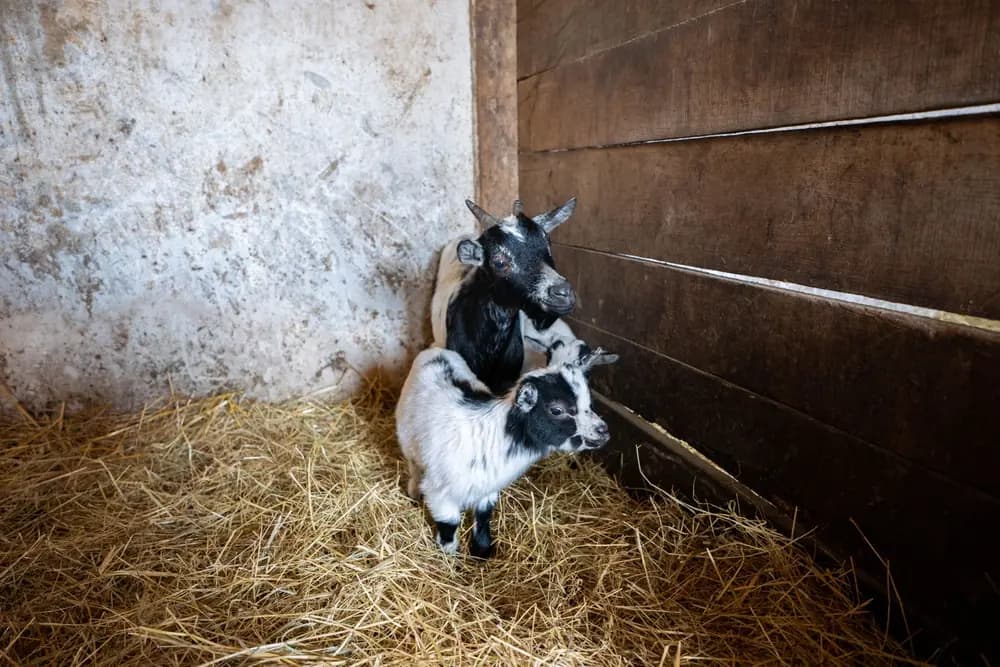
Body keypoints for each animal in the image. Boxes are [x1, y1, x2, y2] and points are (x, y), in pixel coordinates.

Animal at [395, 345, 613, 558]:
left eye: (589, 403)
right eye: (557, 410)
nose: (603, 431)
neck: (500, 435)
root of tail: (436, 351)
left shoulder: (488, 487)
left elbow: (484, 515)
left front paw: (482, 551)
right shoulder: (440, 491)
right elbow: (449, 522)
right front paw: (450, 555)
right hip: (408, 440)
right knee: (414, 466)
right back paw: (414, 492)